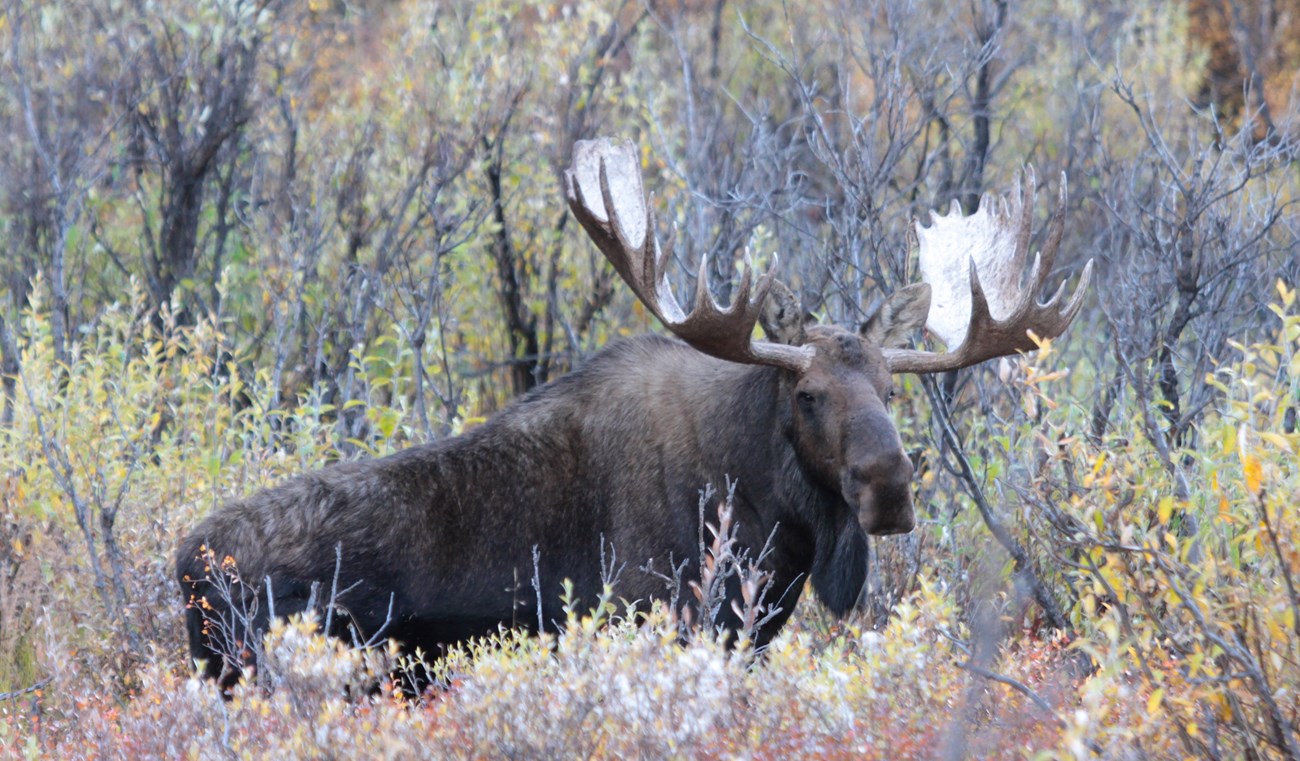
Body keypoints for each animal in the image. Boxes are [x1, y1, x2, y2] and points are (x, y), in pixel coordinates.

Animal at [172, 137, 1086, 686]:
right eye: (808, 393)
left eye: (894, 393)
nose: (889, 486)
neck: (775, 525)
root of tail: (183, 567)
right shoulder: (659, 616)